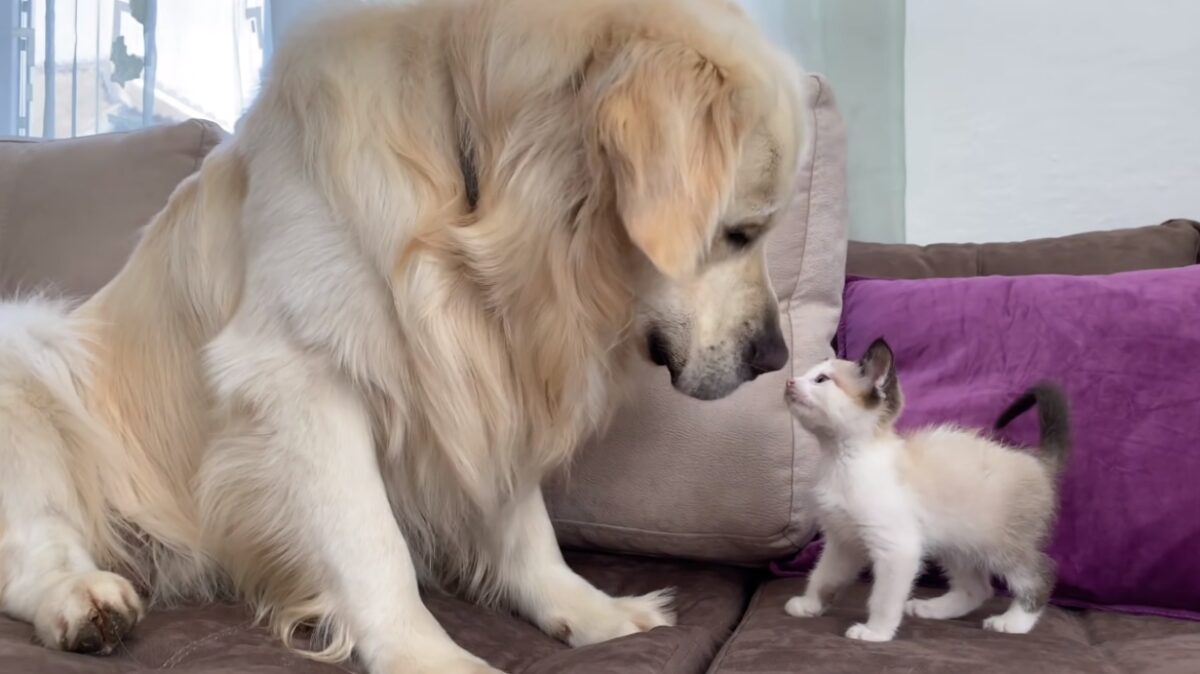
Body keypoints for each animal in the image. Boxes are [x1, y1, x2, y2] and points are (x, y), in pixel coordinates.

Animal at [2, 1, 806, 666]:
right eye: (739, 232)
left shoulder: (488, 364)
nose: (776, 356)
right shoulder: (298, 374)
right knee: (32, 548)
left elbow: (524, 523)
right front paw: (429, 656)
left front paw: (588, 611)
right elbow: (371, 543)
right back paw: (82, 601)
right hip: (29, 354)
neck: (471, 202)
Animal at [782, 338, 1075, 638]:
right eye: (806, 374)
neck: (839, 459)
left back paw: (1013, 623)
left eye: (821, 380)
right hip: (958, 543)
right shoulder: (844, 541)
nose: (789, 382)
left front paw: (876, 632)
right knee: (978, 589)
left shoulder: (897, 548)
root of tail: (1037, 460)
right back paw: (930, 609)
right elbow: (823, 575)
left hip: (999, 544)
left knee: (1040, 576)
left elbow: (883, 598)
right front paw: (809, 604)